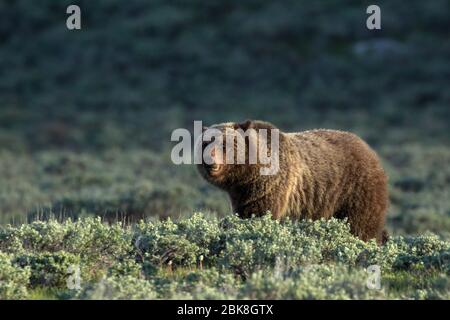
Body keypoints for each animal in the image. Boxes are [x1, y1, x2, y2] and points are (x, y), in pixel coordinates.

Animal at [198, 119, 390, 242]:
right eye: (205, 143)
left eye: (225, 144)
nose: (211, 162)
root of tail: (370, 151)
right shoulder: (241, 193)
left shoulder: (270, 184)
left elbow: (259, 213)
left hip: (355, 189)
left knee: (362, 224)